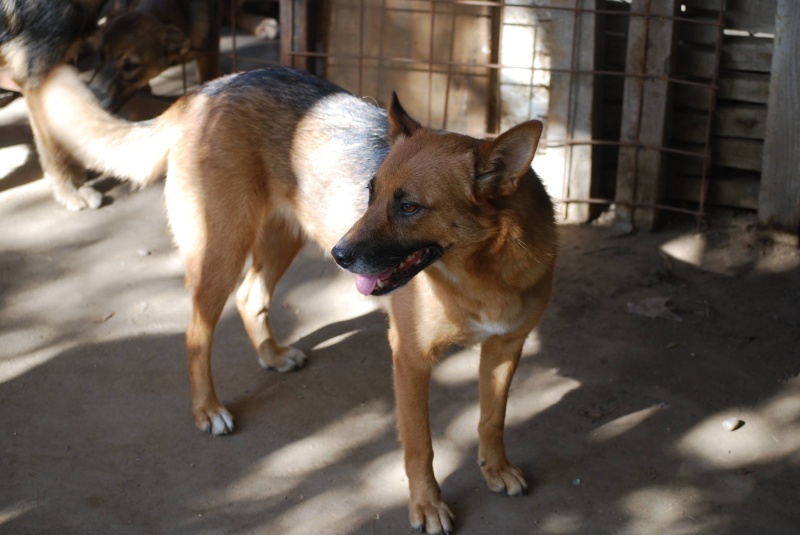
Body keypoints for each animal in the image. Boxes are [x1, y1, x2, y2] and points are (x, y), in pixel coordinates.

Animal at [39, 62, 556, 532]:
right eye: (371, 193)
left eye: (409, 206)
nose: (340, 255)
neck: (482, 274)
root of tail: (212, 87)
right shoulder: (410, 359)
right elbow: (420, 445)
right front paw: (427, 506)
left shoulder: (505, 350)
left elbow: (492, 419)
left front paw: (496, 469)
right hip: (221, 251)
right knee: (195, 332)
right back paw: (208, 409)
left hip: (280, 239)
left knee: (250, 297)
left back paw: (272, 354)